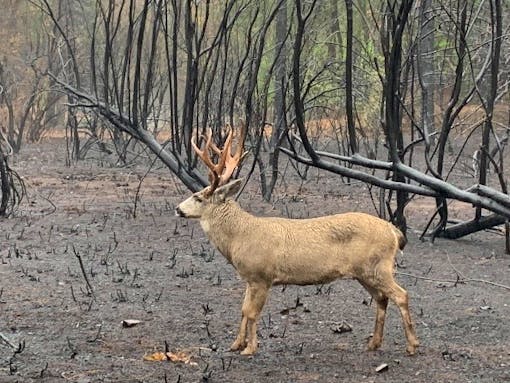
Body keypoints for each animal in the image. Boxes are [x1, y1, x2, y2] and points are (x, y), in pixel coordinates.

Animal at [174, 128, 418, 356]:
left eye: (198, 197)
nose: (177, 209)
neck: (240, 237)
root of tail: (393, 231)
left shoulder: (262, 275)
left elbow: (252, 312)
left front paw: (250, 348)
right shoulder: (249, 278)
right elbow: (243, 310)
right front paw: (236, 344)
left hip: (378, 267)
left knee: (401, 295)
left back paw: (412, 345)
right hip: (365, 272)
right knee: (382, 298)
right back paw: (374, 343)